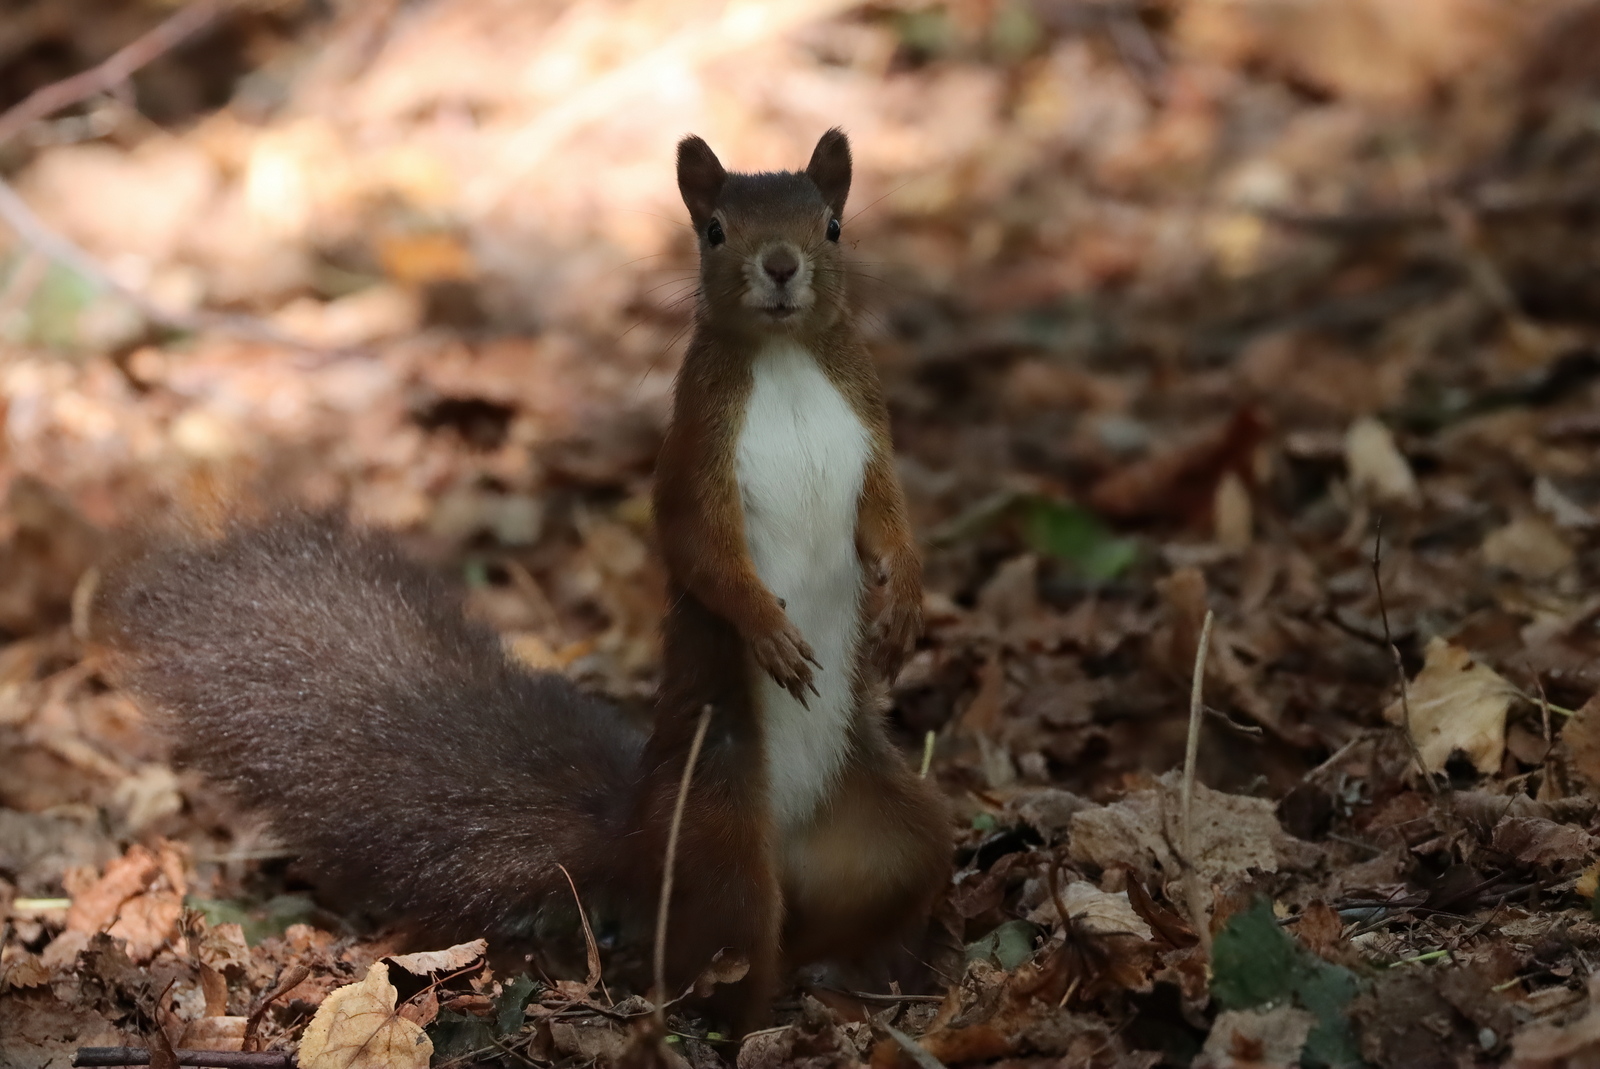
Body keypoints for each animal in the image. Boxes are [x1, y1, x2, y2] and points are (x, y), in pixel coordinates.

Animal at [96, 129, 947, 1030]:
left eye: (832, 225)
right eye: (715, 230)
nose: (781, 265)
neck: (784, 364)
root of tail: (637, 831)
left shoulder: (868, 428)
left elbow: (889, 517)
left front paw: (905, 604)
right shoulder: (693, 457)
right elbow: (703, 552)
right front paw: (771, 631)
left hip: (895, 833)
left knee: (876, 888)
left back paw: (860, 982)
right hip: (721, 840)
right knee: (722, 961)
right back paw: (761, 1016)